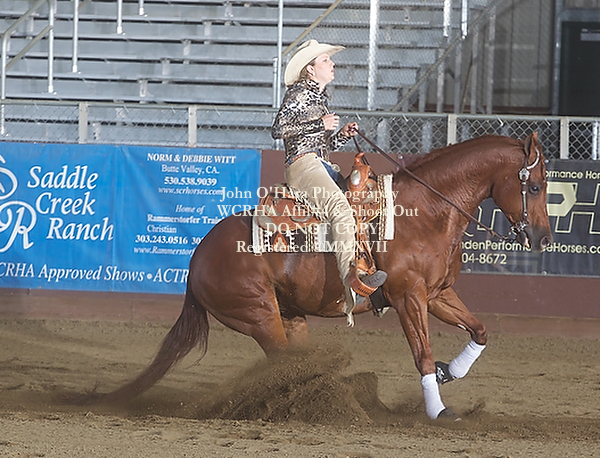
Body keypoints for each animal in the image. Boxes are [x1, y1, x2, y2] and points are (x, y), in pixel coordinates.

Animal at [82, 132, 552, 420]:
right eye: (533, 186)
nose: (544, 238)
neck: (425, 213)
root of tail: (198, 256)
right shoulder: (408, 298)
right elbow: (420, 352)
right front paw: (438, 410)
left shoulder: (437, 293)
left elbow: (480, 330)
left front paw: (445, 373)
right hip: (258, 315)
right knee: (282, 364)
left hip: (290, 315)